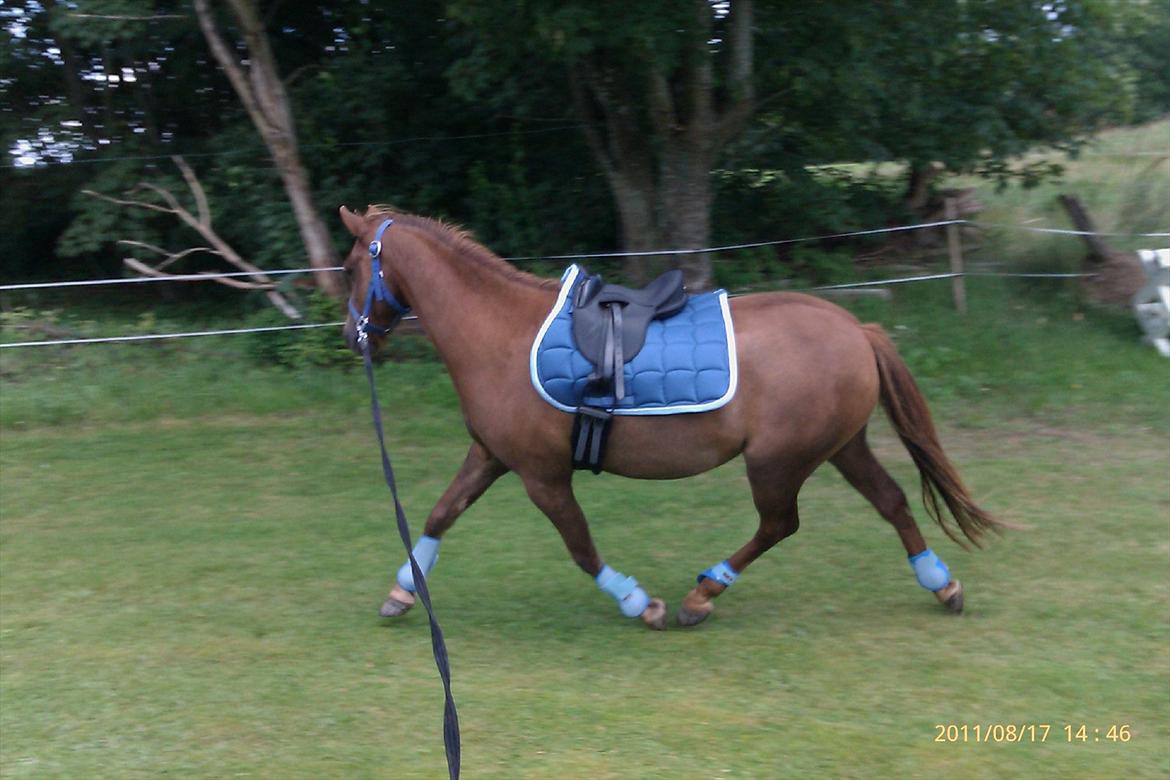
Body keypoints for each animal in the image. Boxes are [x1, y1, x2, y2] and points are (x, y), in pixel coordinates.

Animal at [338, 205, 1004, 629]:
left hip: (778, 461)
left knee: (779, 524)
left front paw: (641, 604)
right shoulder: (492, 456)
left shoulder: (542, 477)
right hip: (842, 447)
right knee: (891, 501)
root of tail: (856, 329)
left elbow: (581, 546)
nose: (352, 335)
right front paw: (402, 592)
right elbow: (440, 513)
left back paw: (701, 595)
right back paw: (942, 584)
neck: (499, 332)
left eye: (348, 267)